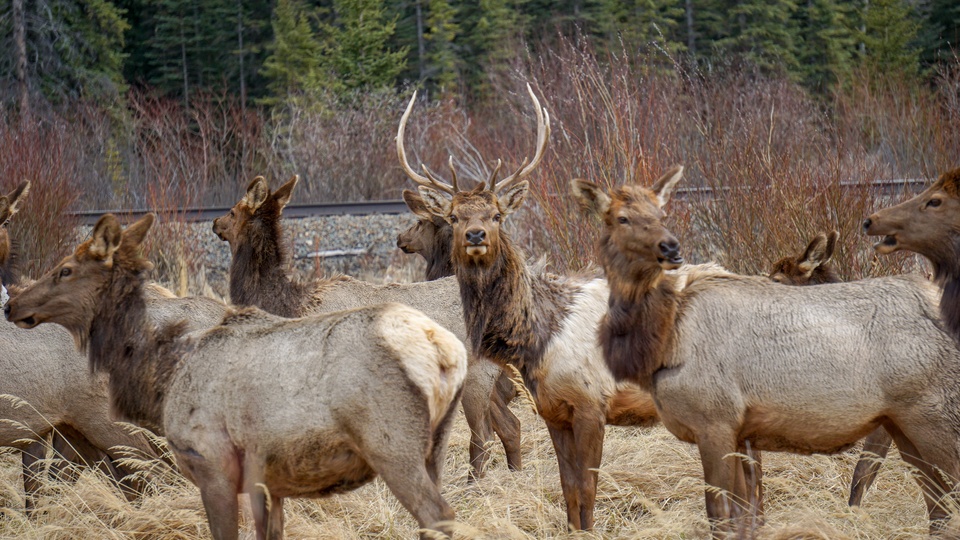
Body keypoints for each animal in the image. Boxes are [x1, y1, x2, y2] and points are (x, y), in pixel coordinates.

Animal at [3, 214, 468, 540]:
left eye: (65, 269)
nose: (13, 303)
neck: (163, 373)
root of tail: (447, 352)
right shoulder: (266, 479)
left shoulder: (214, 464)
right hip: (434, 448)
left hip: (392, 445)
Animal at [214, 173, 520, 476]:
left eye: (232, 211)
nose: (216, 223)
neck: (290, 306)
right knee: (507, 426)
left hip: (476, 375)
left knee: (483, 435)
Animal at [572, 169, 960, 536]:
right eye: (619, 217)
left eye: (660, 212)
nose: (669, 247)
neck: (663, 343)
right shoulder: (739, 432)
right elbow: (746, 516)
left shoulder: (715, 422)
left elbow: (722, 519)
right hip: (901, 426)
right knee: (938, 509)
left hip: (934, 415)